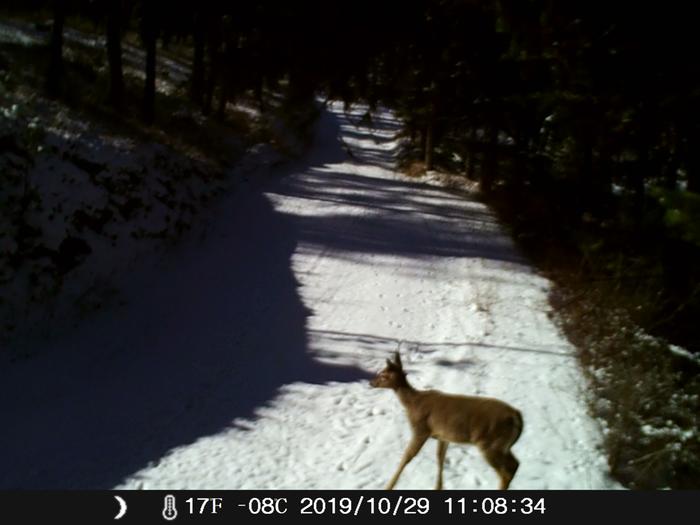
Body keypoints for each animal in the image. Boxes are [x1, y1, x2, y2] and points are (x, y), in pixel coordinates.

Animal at [370, 350, 524, 490]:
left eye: (383, 375)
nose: (371, 383)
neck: (413, 404)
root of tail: (516, 415)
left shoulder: (421, 430)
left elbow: (406, 458)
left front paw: (388, 487)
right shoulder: (443, 436)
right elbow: (440, 459)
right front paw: (438, 487)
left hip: (489, 443)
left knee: (506, 472)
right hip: (502, 445)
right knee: (515, 464)